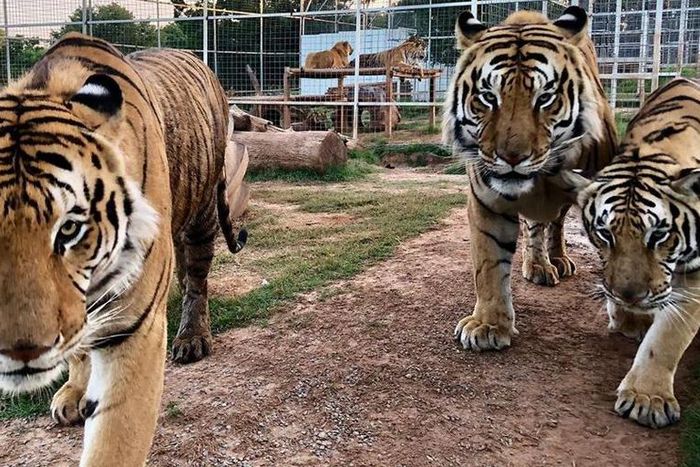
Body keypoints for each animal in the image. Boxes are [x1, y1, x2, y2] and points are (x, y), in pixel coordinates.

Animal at [0, 33, 246, 465]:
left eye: (68, 228)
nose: (22, 349)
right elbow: (78, 348)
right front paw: (73, 392)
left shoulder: (134, 324)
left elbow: (114, 440)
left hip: (202, 211)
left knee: (196, 279)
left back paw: (191, 338)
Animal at [442, 7, 617, 351]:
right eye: (488, 97)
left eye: (545, 97)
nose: (512, 157)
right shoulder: (487, 202)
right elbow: (489, 264)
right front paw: (488, 325)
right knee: (535, 227)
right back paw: (538, 266)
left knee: (556, 224)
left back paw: (557, 259)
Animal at [561, 77, 700, 428]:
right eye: (605, 234)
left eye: (659, 235)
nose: (630, 296)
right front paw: (629, 319)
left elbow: (669, 334)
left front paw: (646, 399)